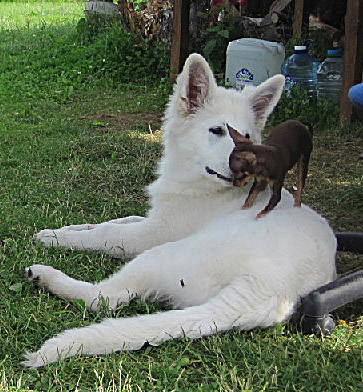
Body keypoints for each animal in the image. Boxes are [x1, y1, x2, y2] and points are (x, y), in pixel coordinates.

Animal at [22, 54, 336, 368]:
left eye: (247, 136)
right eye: (217, 130)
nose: (243, 169)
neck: (202, 182)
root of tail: (274, 293)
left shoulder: (152, 235)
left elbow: (108, 233)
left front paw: (55, 239)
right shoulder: (154, 218)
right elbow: (114, 222)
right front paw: (65, 230)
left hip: (162, 255)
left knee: (104, 298)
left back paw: (46, 276)